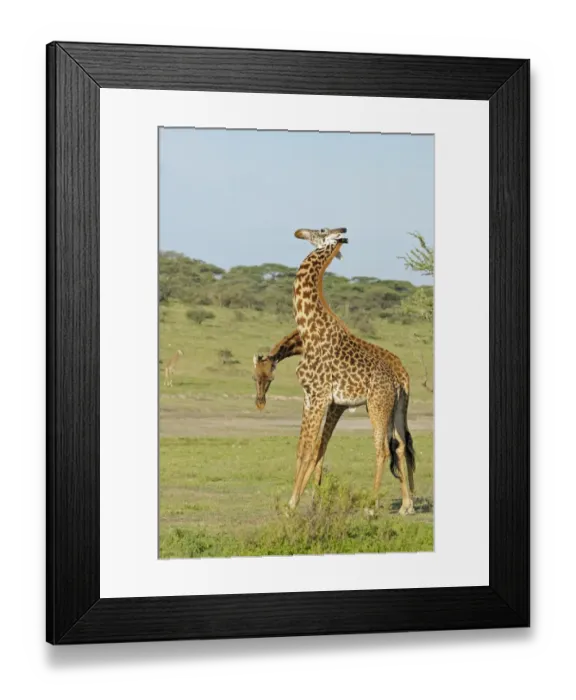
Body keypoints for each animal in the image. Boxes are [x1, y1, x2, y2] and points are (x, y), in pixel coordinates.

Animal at [288, 227, 416, 514]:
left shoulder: (321, 397)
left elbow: (311, 449)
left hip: (377, 406)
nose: (299, 232)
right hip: (395, 408)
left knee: (383, 449)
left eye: (320, 230)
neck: (309, 329)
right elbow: (304, 448)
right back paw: (406, 505)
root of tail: (399, 380)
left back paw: (372, 505)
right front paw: (298, 500)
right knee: (400, 445)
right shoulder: (310, 397)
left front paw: (293, 503)